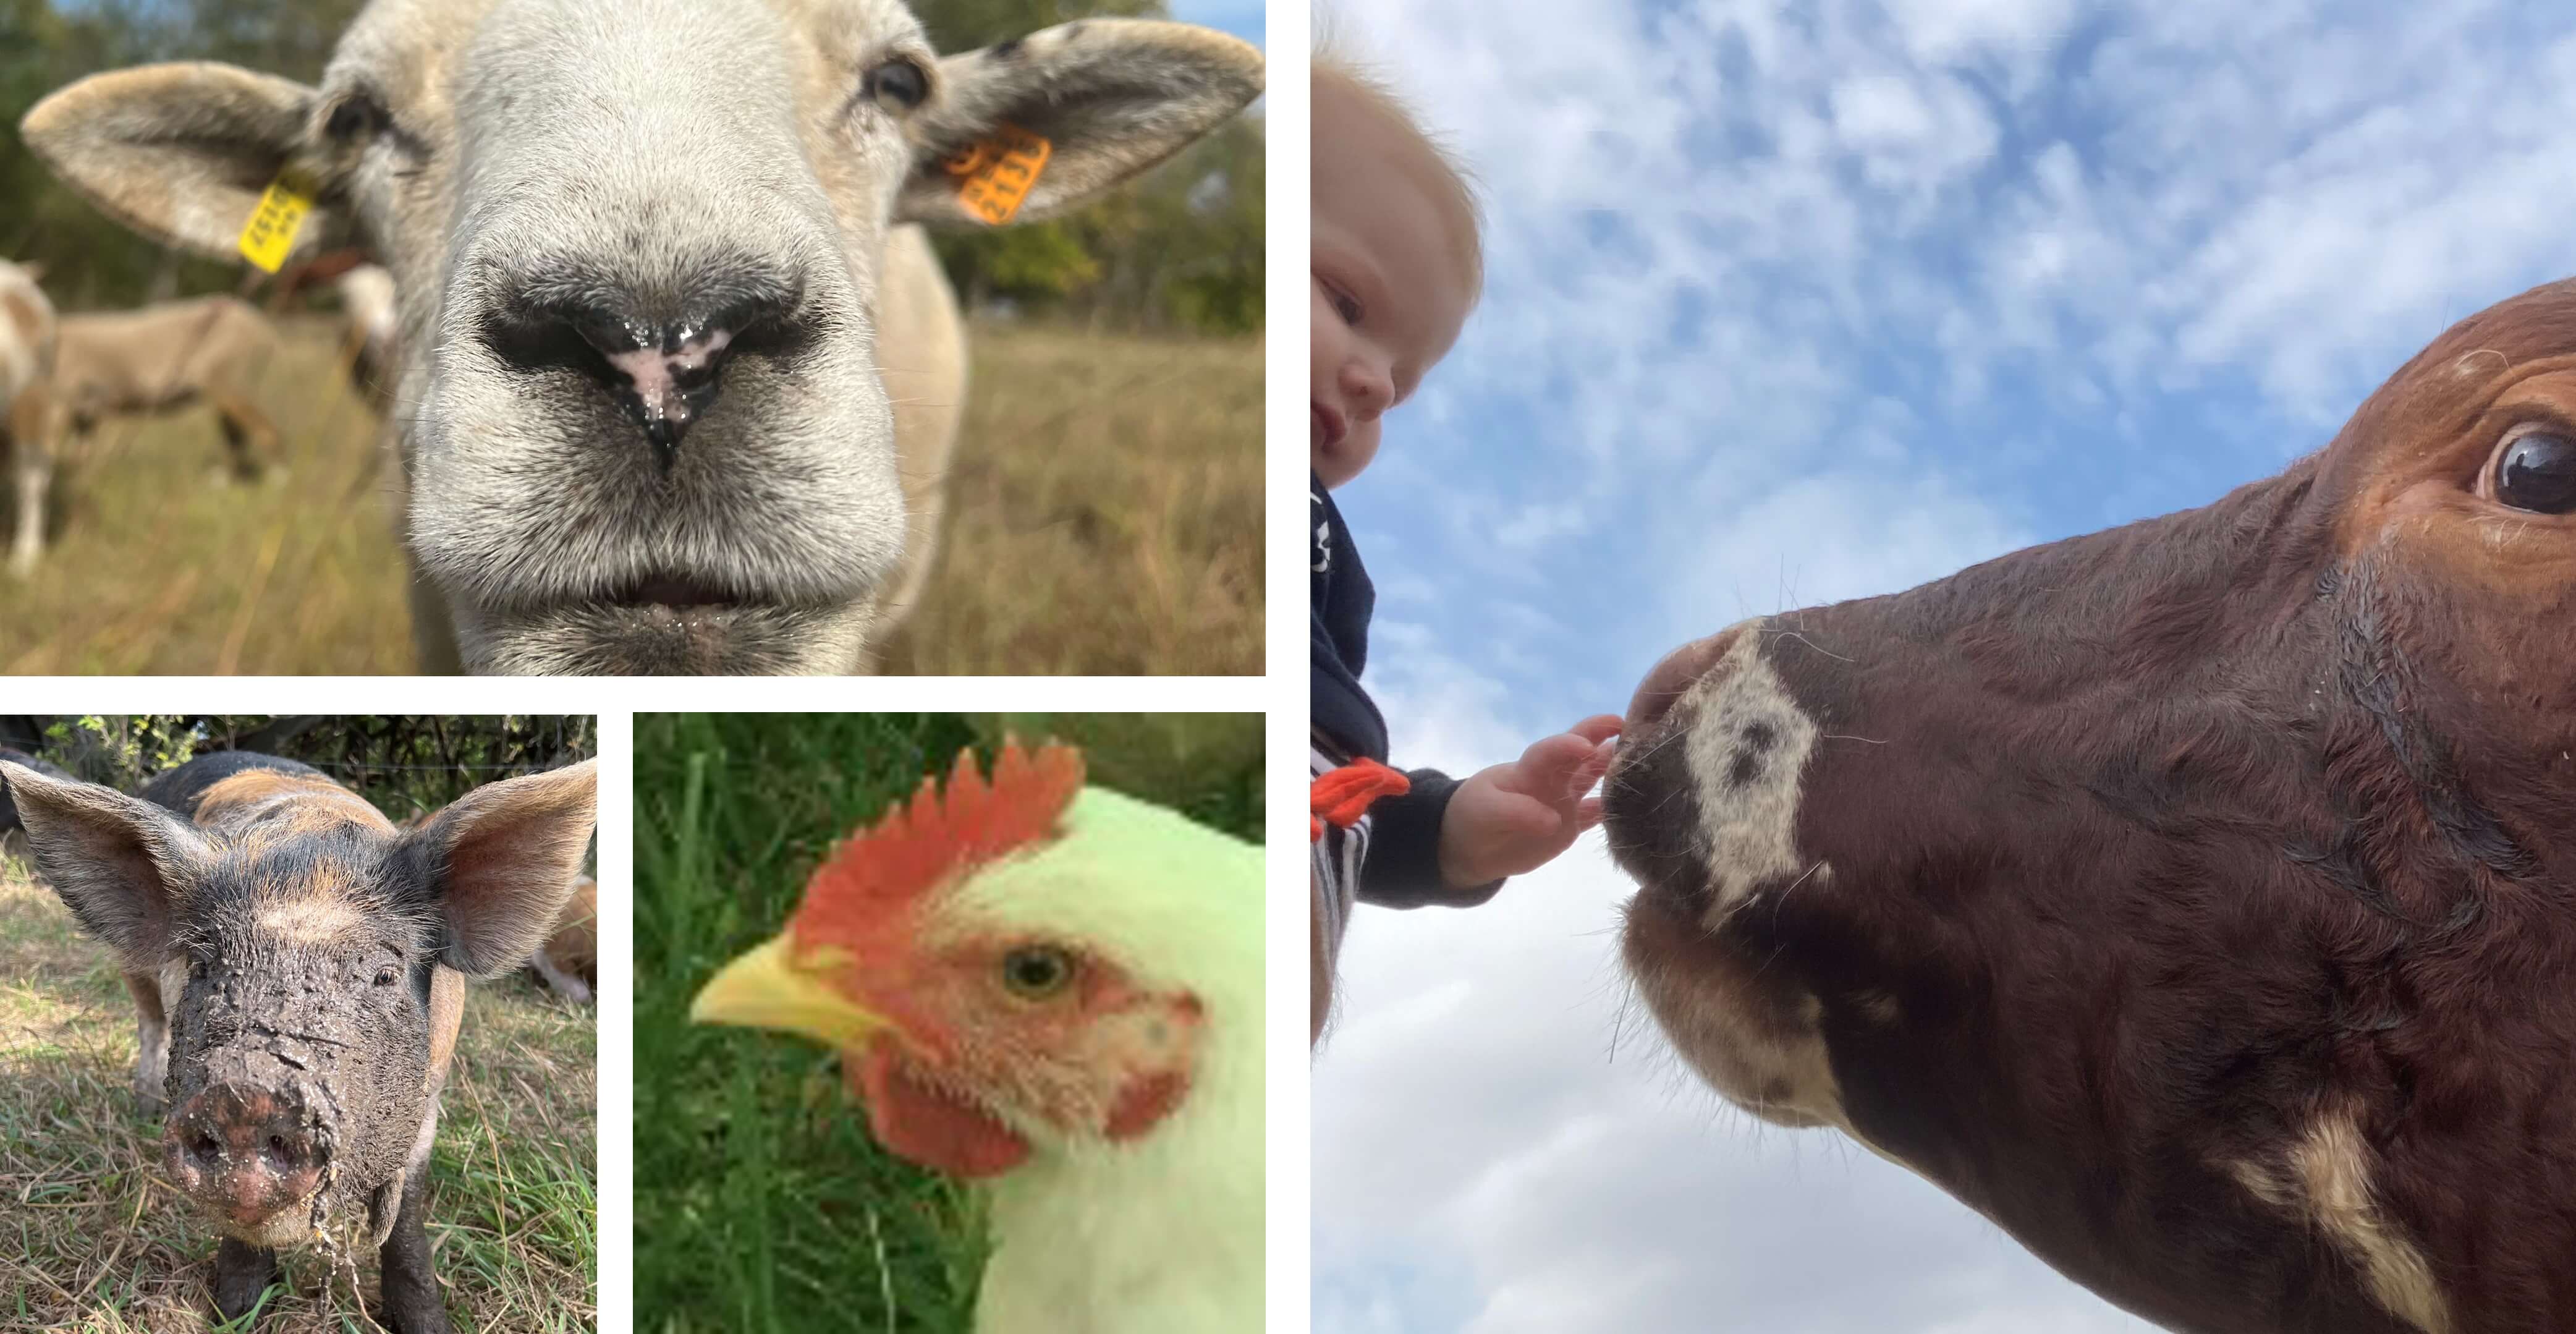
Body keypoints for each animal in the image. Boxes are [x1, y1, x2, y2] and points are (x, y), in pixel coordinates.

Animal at [3, 750, 599, 1331]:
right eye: (203, 966)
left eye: (385, 974)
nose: (246, 1096)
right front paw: (234, 1314)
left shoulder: (431, 1094)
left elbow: (406, 1221)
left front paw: (429, 1325)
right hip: (133, 970)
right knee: (149, 1024)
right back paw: (144, 1109)